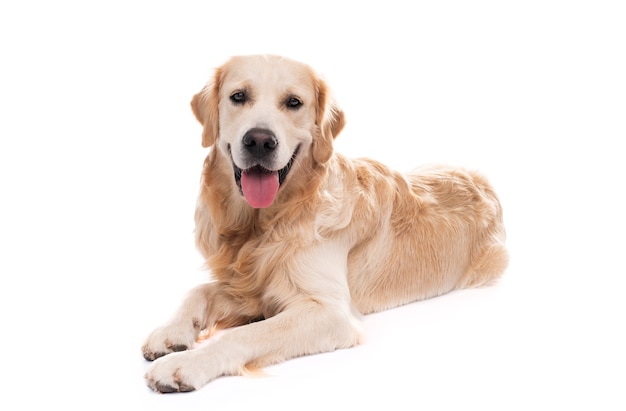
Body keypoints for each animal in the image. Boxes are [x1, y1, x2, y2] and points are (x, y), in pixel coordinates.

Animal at [141, 54, 508, 392]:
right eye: (238, 96)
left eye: (293, 102)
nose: (259, 140)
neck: (266, 222)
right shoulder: (248, 287)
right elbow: (198, 290)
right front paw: (170, 333)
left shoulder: (327, 312)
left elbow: (244, 335)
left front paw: (186, 364)